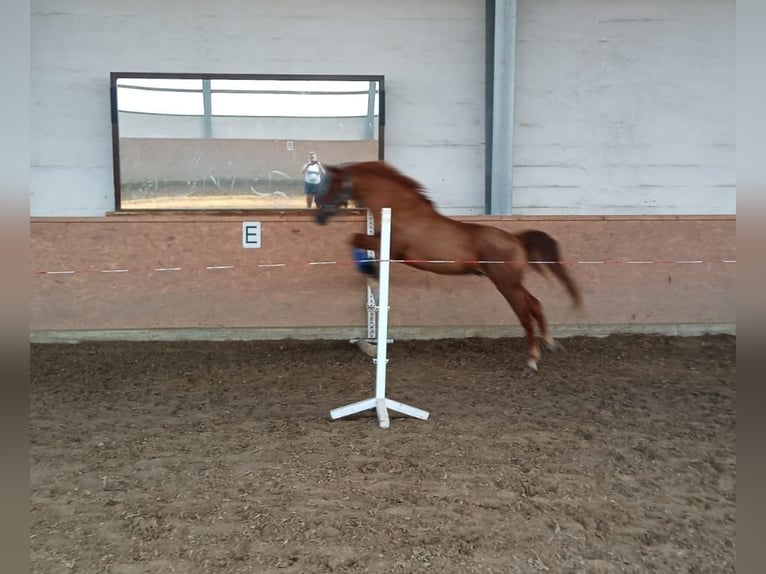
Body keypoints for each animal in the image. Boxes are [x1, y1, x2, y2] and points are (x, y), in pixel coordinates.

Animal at [316, 163, 584, 378]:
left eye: (332, 186)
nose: (319, 217)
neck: (402, 209)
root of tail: (516, 239)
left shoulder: (394, 250)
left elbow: (355, 239)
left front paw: (371, 272)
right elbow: (355, 239)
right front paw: (372, 273)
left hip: (506, 285)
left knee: (525, 315)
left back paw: (531, 362)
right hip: (512, 283)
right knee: (535, 303)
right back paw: (550, 343)